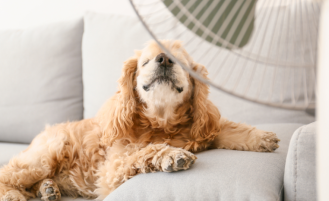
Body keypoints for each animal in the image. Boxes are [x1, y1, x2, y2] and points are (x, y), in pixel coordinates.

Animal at [0, 40, 280, 200]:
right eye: (145, 61)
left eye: (181, 62)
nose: (164, 59)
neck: (162, 121)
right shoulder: (112, 168)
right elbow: (145, 151)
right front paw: (172, 155)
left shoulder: (201, 129)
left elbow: (229, 129)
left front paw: (262, 138)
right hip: (47, 154)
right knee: (8, 175)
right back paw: (14, 195)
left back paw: (47, 189)